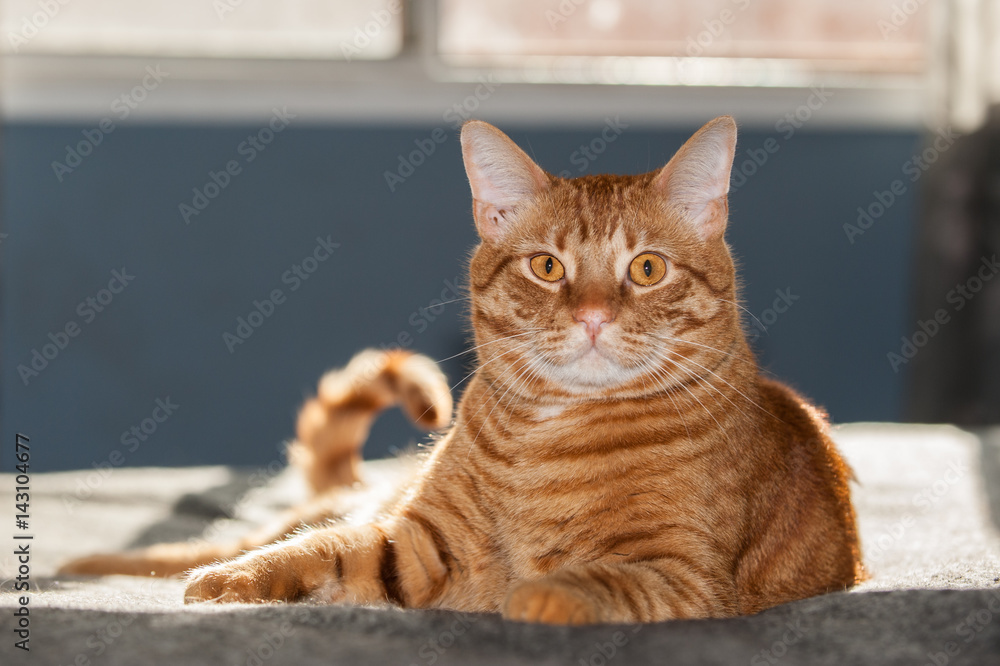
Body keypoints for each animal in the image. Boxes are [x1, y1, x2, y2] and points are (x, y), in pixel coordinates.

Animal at [60, 116, 860, 620]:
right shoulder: (415, 543)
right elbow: (316, 552)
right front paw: (233, 584)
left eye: (647, 268)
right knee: (249, 534)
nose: (593, 315)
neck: (549, 439)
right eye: (547, 267)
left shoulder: (683, 575)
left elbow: (596, 581)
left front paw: (538, 594)